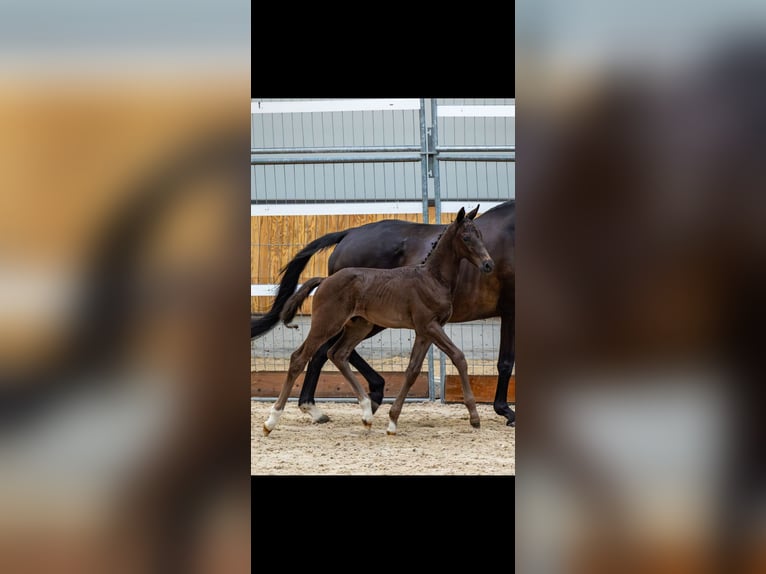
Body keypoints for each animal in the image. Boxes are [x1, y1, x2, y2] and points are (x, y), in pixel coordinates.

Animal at [252, 200, 516, 426]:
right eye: (466, 237)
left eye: (481, 235)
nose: (488, 264)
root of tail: (348, 234)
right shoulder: (501, 311)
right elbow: (496, 361)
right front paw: (503, 411)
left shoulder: (427, 329)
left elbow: (415, 368)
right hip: (351, 321)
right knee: (318, 353)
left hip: (360, 322)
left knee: (329, 352)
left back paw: (346, 404)